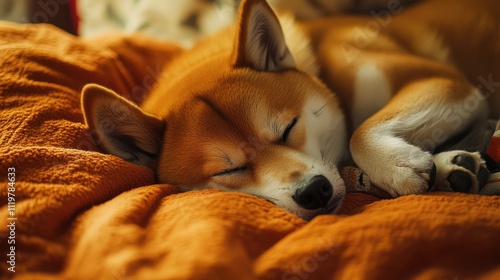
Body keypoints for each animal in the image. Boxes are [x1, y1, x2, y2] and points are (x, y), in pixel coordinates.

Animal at [80, 0, 498, 220]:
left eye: (287, 128)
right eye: (228, 170)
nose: (314, 191)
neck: (323, 71)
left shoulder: (443, 81)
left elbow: (359, 131)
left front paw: (400, 169)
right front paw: (448, 167)